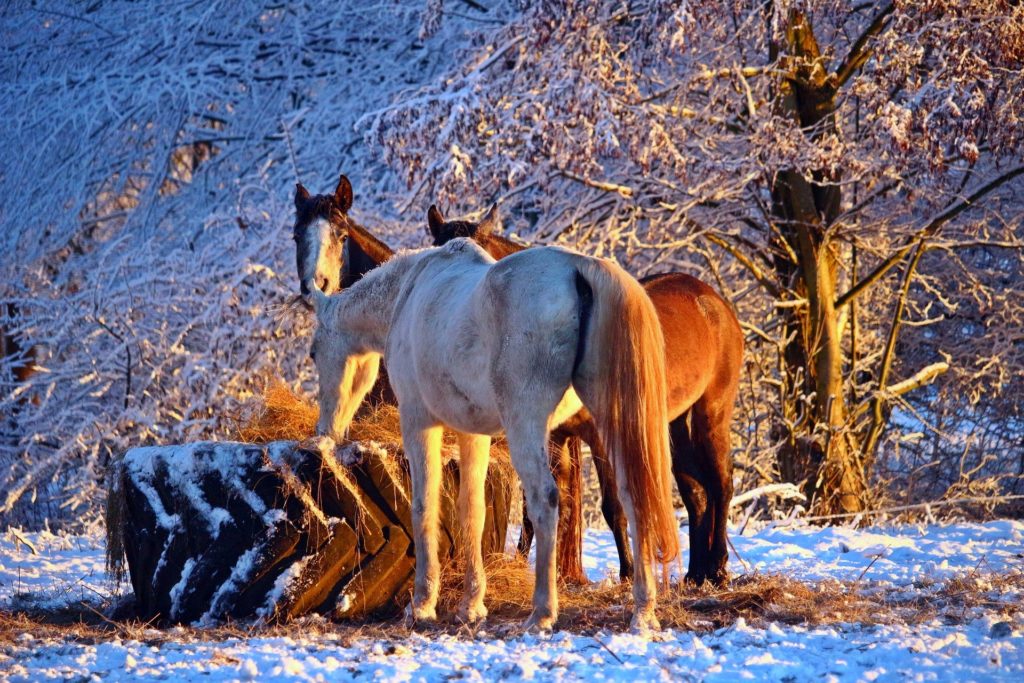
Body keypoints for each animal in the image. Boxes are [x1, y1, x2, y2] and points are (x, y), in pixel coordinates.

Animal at [311, 237, 679, 634]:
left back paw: (541, 613)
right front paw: (471, 606)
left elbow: (424, 506)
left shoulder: (419, 422)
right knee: (634, 497)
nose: (324, 433)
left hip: (526, 424)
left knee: (545, 499)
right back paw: (643, 612)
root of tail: (580, 267)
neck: (408, 294)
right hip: (610, 423)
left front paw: (422, 605)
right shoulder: (474, 435)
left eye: (314, 353)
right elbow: (472, 511)